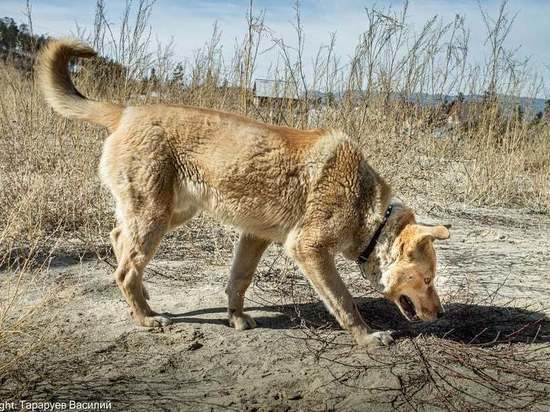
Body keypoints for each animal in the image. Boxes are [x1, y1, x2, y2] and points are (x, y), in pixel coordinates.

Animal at [35, 39, 452, 348]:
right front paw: (367, 338)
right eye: (427, 280)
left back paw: (144, 296)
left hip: (168, 214)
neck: (370, 212)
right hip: (154, 218)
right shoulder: (309, 250)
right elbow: (344, 301)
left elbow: (238, 281)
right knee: (123, 269)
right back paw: (146, 318)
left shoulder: (254, 238)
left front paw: (235, 319)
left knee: (118, 238)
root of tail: (125, 112)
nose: (441, 314)